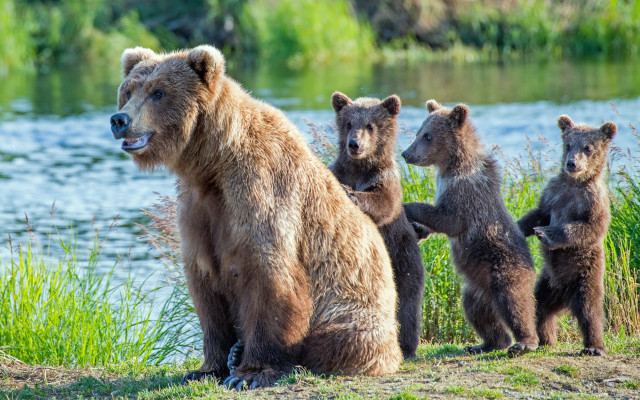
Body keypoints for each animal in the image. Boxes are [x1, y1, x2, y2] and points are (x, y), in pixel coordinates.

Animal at [110, 45, 402, 389]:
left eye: (158, 92)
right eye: (129, 91)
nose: (120, 119)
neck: (213, 163)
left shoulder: (260, 191)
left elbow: (269, 277)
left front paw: (249, 374)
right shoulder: (198, 209)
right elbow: (205, 286)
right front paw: (205, 368)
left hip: (355, 308)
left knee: (340, 338)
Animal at [329, 91, 426, 359]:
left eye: (370, 125)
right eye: (348, 123)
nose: (354, 144)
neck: (360, 169)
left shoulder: (385, 179)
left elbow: (383, 202)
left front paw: (352, 194)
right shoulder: (338, 171)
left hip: (403, 257)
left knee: (407, 301)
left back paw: (406, 345)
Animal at [401, 100, 538, 357]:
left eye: (427, 135)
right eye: (418, 132)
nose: (406, 154)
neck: (451, 165)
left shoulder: (466, 192)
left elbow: (448, 219)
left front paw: (407, 207)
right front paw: (418, 230)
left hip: (504, 266)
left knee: (514, 300)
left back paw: (524, 342)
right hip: (475, 288)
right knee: (477, 312)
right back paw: (486, 343)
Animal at [517, 115, 617, 356]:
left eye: (588, 148)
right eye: (569, 145)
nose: (571, 163)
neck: (574, 183)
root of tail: (564, 297)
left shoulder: (593, 200)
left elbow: (588, 227)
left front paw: (546, 233)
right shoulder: (553, 192)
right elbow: (539, 214)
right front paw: (519, 226)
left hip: (585, 275)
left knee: (590, 310)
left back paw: (594, 346)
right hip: (547, 283)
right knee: (540, 307)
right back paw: (546, 339)